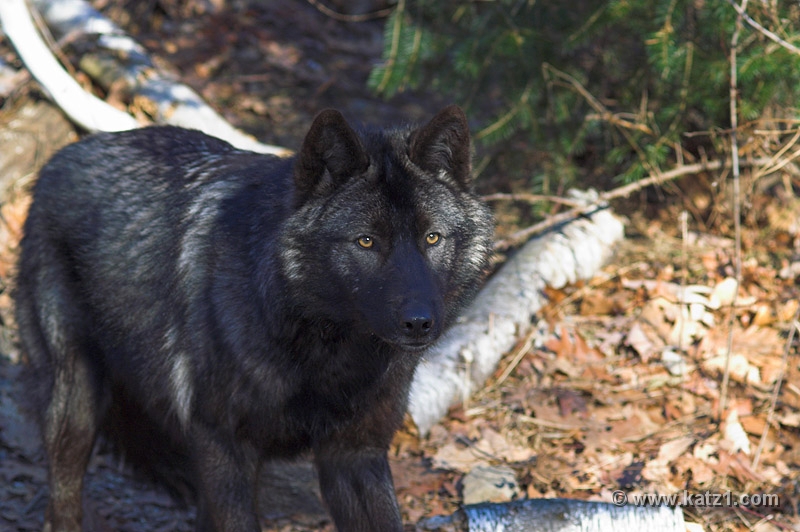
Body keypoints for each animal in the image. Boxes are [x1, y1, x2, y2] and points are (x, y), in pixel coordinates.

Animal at [14, 105, 493, 532]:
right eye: (366, 241)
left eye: (432, 237)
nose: (419, 322)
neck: (328, 353)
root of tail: (62, 155)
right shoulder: (224, 446)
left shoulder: (355, 455)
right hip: (75, 407)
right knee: (61, 508)